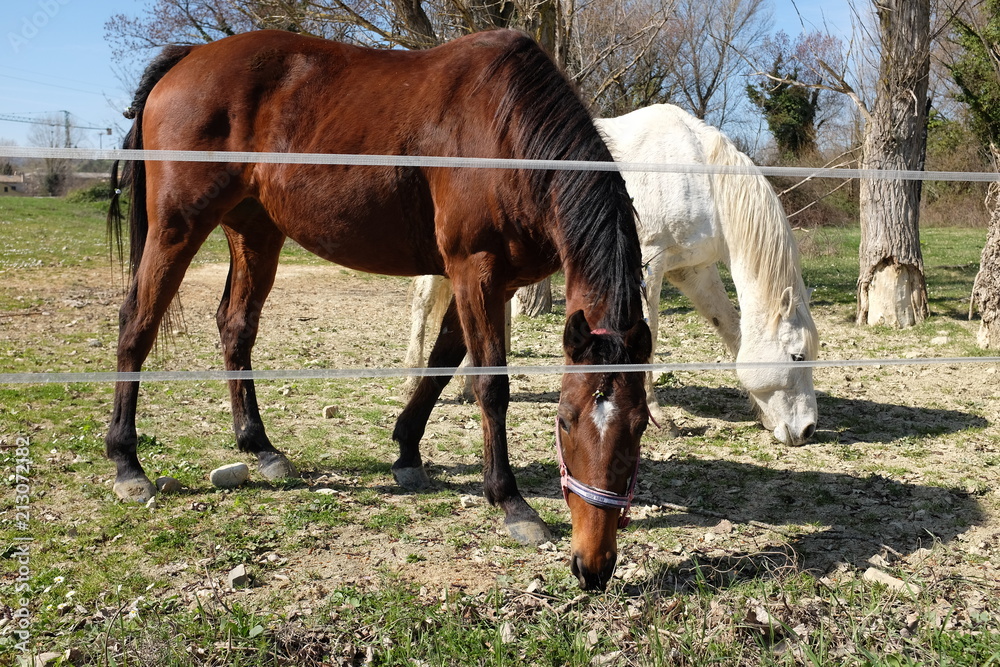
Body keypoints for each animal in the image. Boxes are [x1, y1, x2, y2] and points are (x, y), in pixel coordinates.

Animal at [105, 29, 652, 591]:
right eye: (564, 421)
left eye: (641, 425)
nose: (594, 565)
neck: (506, 130)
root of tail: (190, 55)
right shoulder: (474, 271)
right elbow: (490, 386)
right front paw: (510, 501)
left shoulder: (489, 283)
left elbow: (440, 365)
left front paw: (407, 452)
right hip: (177, 228)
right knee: (136, 326)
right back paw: (128, 464)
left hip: (254, 230)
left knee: (236, 327)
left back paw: (259, 447)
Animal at [404, 104, 819, 446]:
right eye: (797, 356)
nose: (807, 430)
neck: (698, 174)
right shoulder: (649, 264)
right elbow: (648, 335)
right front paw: (658, 418)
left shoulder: (693, 271)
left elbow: (732, 331)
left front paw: (762, 414)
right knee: (422, 306)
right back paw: (411, 376)